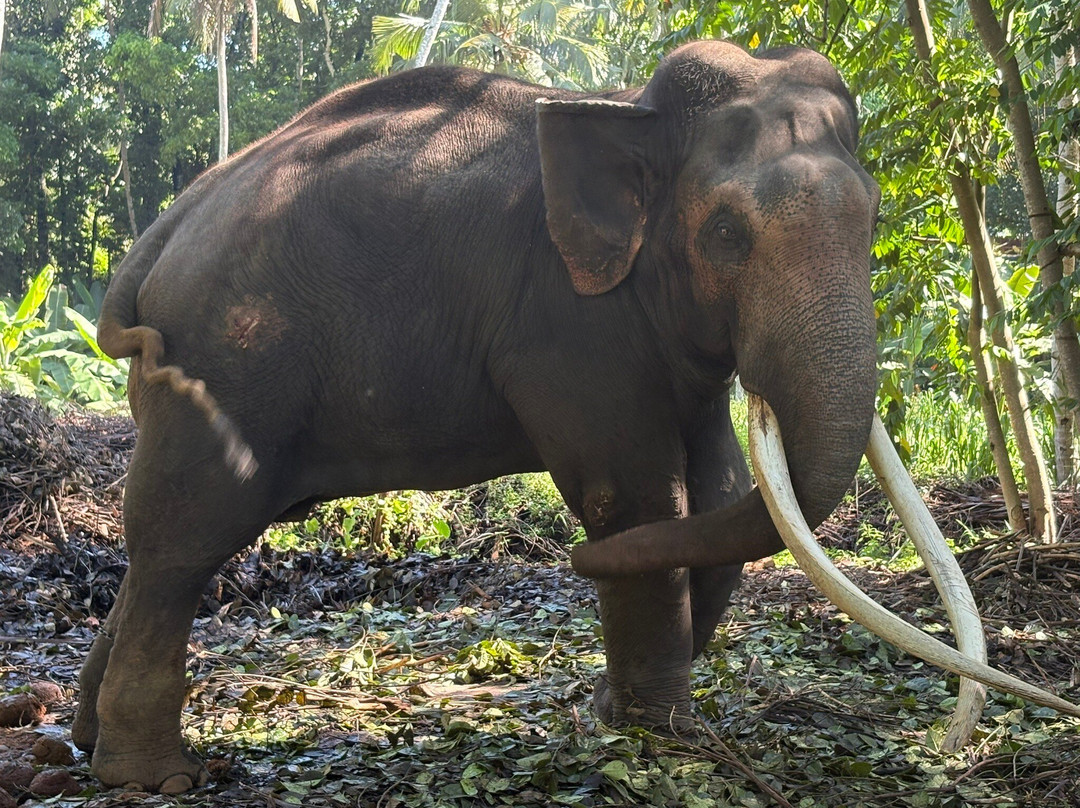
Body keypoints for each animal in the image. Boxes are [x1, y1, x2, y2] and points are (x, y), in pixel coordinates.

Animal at [74, 39, 1070, 794]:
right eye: (726, 236)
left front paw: (617, 714)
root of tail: (159, 237)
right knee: (183, 539)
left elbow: (715, 492)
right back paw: (154, 776)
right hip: (230, 364)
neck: (627, 112)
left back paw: (84, 745)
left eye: (871, 220)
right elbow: (636, 501)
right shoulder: (564, 320)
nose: (950, 745)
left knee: (160, 544)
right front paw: (658, 734)